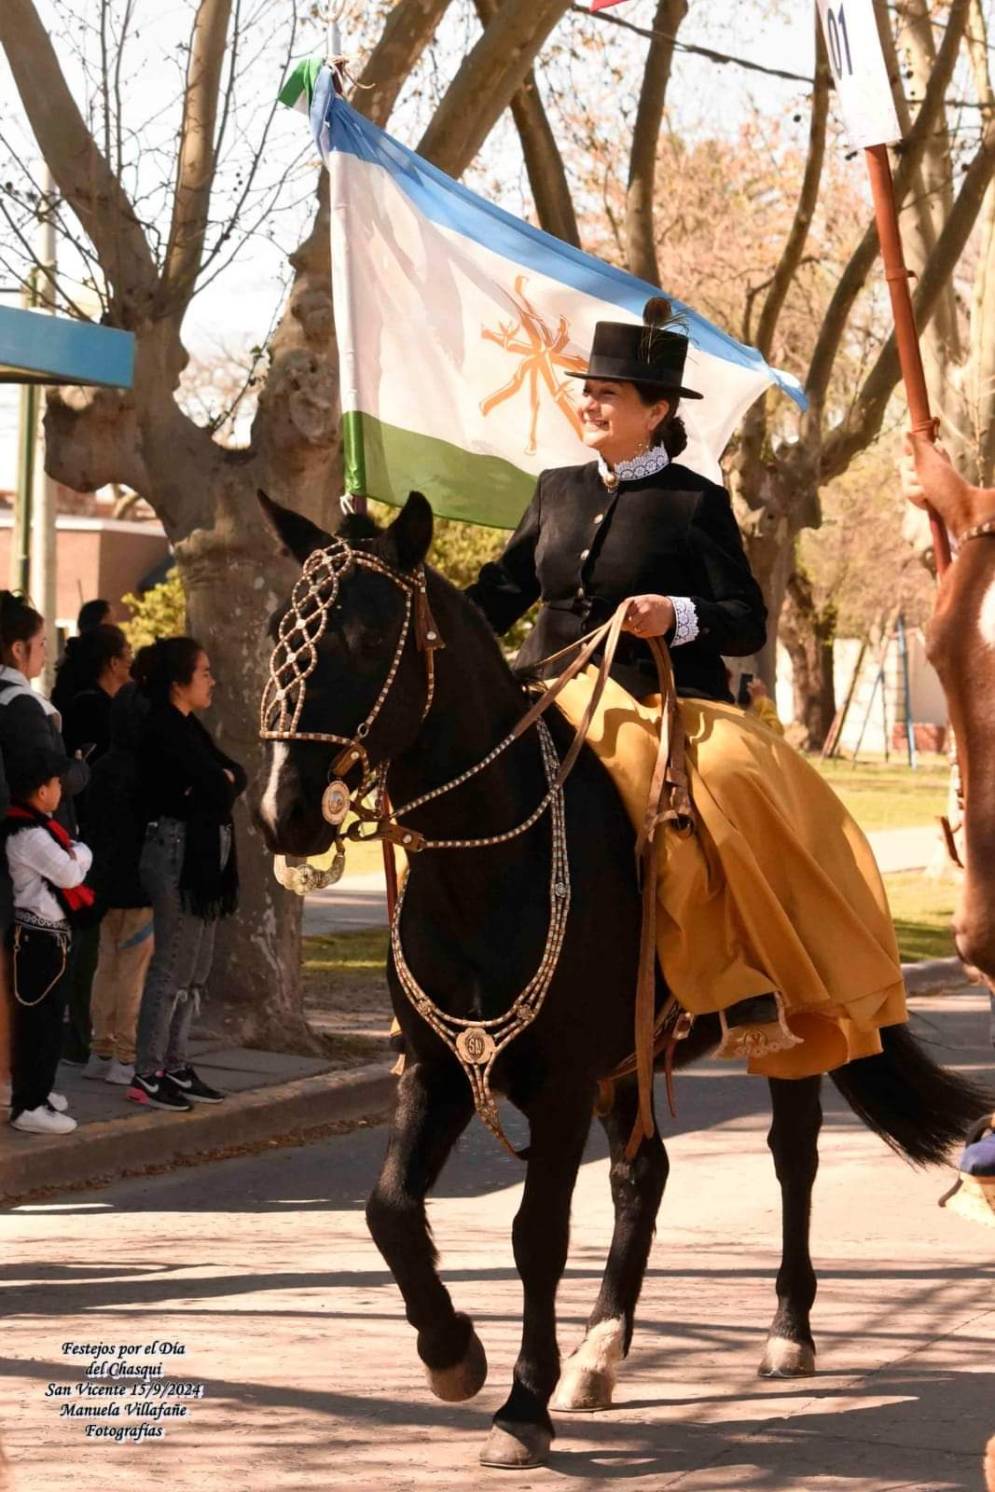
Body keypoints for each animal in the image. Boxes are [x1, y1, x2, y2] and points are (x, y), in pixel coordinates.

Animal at [259, 495, 995, 1474]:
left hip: (795, 1033)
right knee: (642, 1176)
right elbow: (388, 1210)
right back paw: (598, 1354)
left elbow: (536, 1234)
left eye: (372, 635)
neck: (487, 867)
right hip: (629, 1065)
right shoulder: (439, 1068)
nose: (284, 812)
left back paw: (785, 1332)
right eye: (279, 628)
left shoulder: (563, 1083)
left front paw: (520, 1408)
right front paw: (453, 1355)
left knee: (789, 1161)